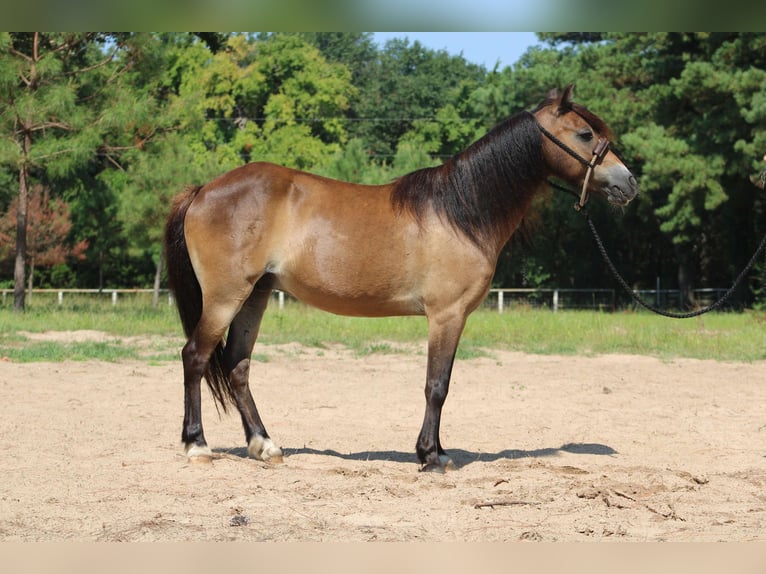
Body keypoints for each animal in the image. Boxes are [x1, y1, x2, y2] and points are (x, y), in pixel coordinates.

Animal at [165, 84, 640, 472]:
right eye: (585, 134)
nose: (629, 183)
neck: (460, 211)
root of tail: (203, 190)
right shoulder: (446, 315)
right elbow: (437, 385)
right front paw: (430, 456)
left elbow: (442, 383)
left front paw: (438, 451)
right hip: (226, 296)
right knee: (195, 356)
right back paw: (197, 446)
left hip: (255, 295)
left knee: (237, 366)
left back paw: (265, 445)